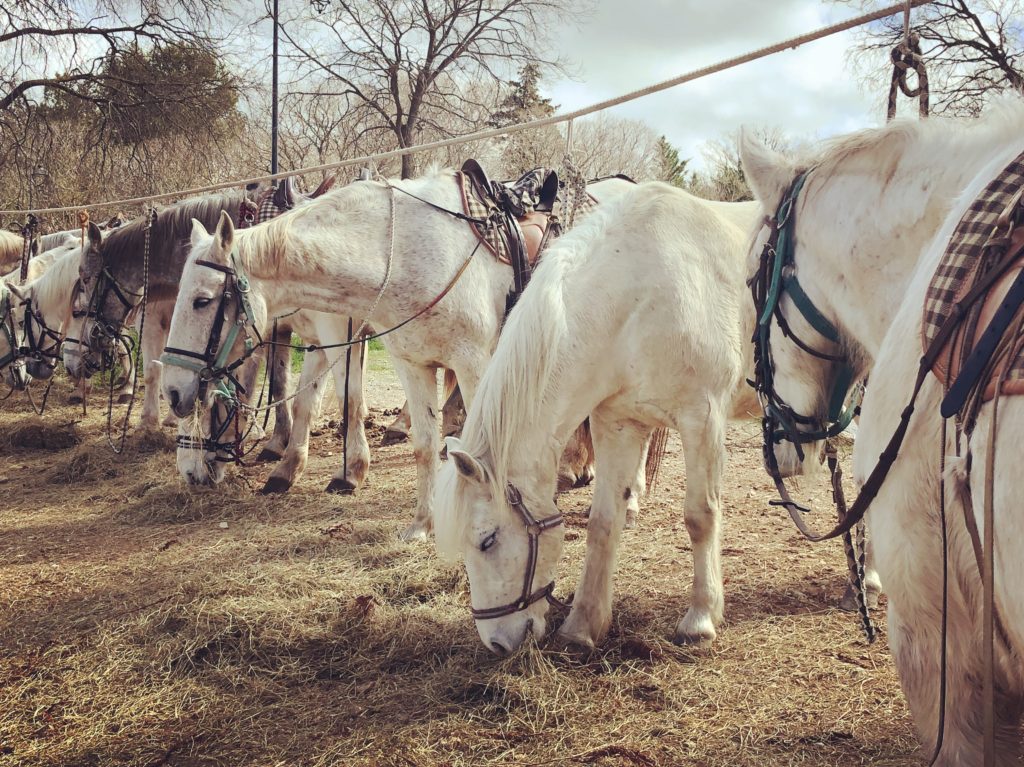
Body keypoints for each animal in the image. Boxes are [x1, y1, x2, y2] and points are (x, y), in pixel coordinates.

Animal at [162, 170, 634, 540]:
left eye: (202, 301)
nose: (174, 392)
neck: (404, 253)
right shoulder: (409, 363)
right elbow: (421, 444)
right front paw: (422, 525)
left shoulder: (467, 363)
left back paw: (625, 501)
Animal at [430, 181, 761, 655]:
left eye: (487, 540)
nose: (497, 645)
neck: (639, 292)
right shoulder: (617, 423)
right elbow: (603, 523)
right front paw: (583, 626)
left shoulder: (703, 418)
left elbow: (700, 516)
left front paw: (700, 619)